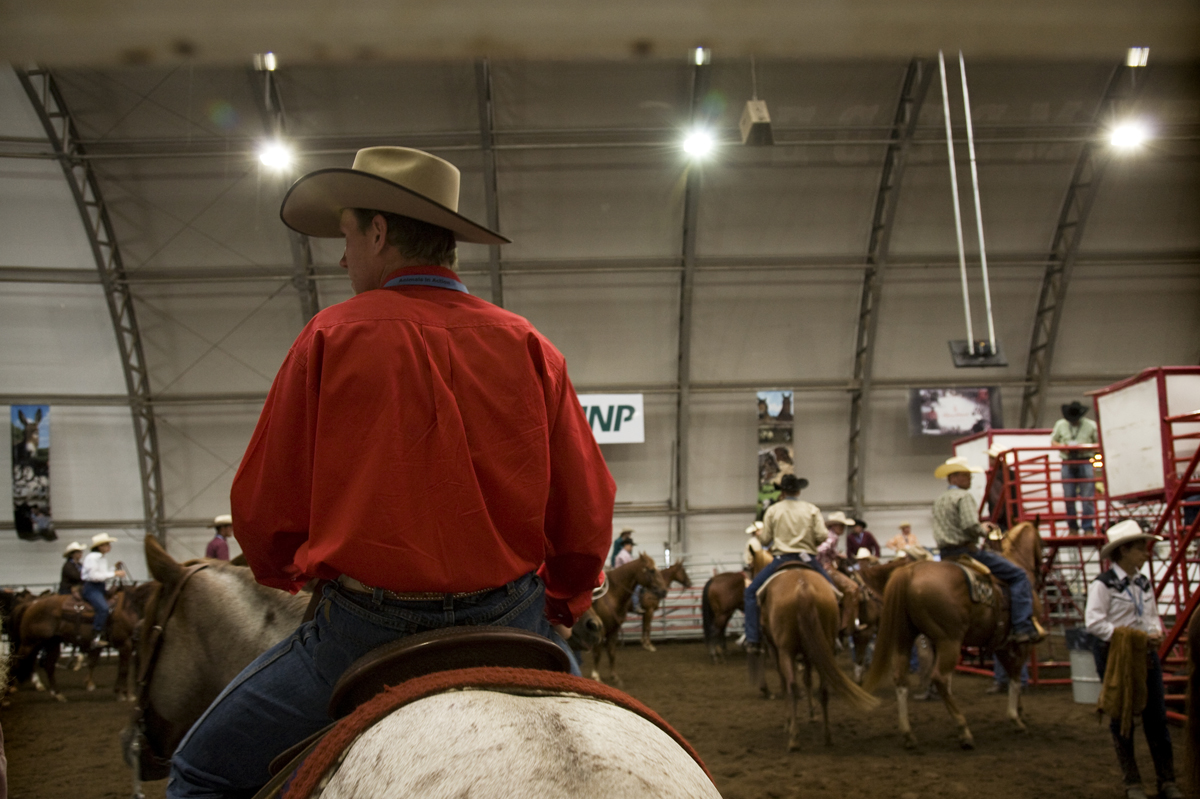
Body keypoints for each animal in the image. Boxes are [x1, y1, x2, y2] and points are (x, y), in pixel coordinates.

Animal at [13, 578, 152, 695]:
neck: (129, 608)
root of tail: (31, 604)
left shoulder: (132, 644)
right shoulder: (125, 643)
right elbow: (123, 668)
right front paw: (123, 693)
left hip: (49, 643)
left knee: (45, 665)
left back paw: (55, 692)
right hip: (30, 643)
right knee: (20, 661)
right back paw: (14, 688)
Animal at [588, 554, 672, 686]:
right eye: (651, 570)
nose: (663, 591)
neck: (611, 595)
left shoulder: (614, 629)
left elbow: (611, 652)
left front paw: (615, 677)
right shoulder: (600, 630)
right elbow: (597, 653)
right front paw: (596, 676)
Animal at [753, 566, 878, 748]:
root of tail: (803, 587)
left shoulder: (775, 649)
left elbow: (787, 682)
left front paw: (788, 722)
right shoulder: (809, 652)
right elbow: (808, 680)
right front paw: (812, 714)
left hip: (785, 650)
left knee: (791, 686)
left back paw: (794, 738)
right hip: (822, 645)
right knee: (823, 689)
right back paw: (827, 736)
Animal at [864, 520, 1041, 748]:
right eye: (1041, 541)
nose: (1041, 565)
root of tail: (910, 572)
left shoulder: (1001, 643)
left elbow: (1012, 673)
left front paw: (1018, 712)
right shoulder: (1021, 643)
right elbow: (1016, 674)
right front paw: (1016, 717)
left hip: (905, 636)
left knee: (901, 679)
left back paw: (908, 734)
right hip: (950, 641)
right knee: (940, 678)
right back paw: (963, 731)